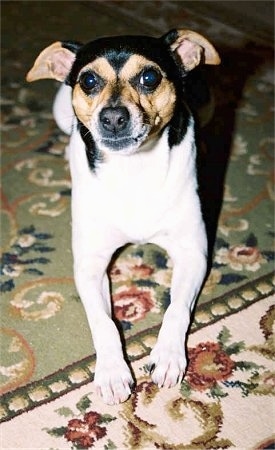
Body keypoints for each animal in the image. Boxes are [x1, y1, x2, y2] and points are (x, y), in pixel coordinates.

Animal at [27, 29, 221, 406]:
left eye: (149, 77)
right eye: (88, 80)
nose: (113, 117)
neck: (134, 170)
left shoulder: (193, 254)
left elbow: (177, 308)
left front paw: (168, 355)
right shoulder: (90, 265)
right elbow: (103, 321)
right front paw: (112, 371)